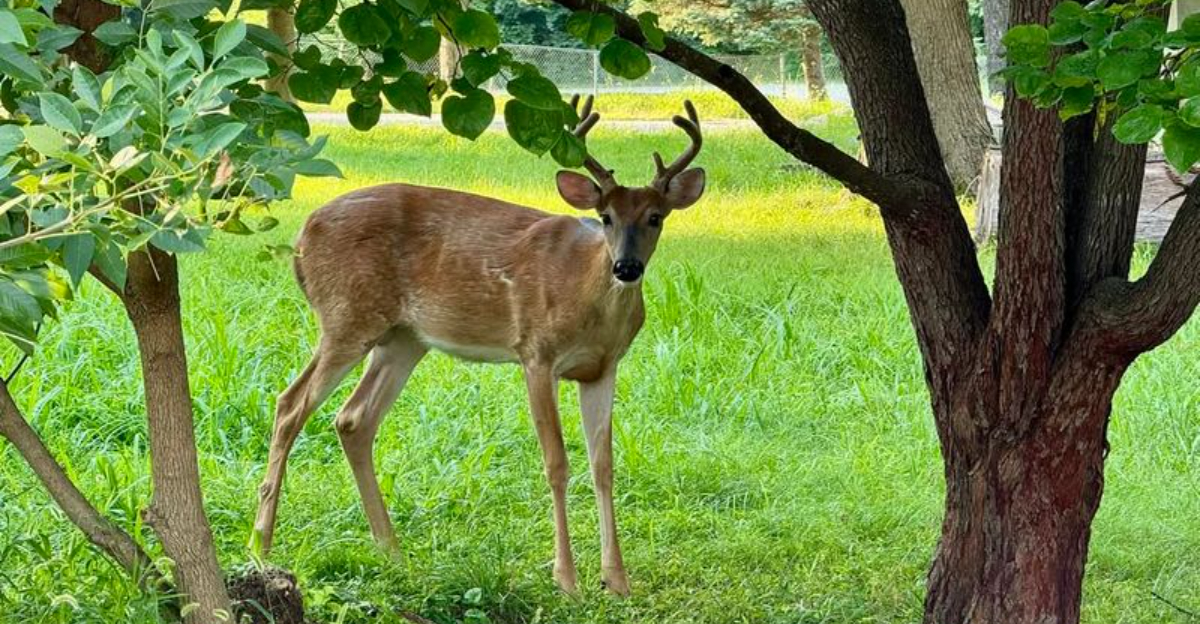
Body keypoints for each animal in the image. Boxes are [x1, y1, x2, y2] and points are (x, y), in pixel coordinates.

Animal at [251, 97, 705, 596]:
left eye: (655, 217)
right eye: (606, 218)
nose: (626, 267)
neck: (587, 296)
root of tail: (300, 238)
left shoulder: (603, 368)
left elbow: (603, 465)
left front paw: (617, 579)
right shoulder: (536, 353)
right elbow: (557, 463)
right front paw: (566, 579)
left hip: (403, 339)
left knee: (353, 419)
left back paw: (391, 551)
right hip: (346, 317)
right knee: (290, 404)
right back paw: (262, 544)